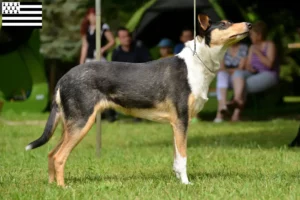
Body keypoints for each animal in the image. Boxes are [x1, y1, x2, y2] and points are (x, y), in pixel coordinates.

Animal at [25, 13, 251, 186]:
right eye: (224, 24)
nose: (249, 24)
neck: (198, 63)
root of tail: (63, 77)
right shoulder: (182, 120)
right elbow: (184, 157)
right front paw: (187, 184)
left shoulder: (176, 124)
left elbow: (176, 158)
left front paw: (179, 181)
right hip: (82, 122)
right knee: (59, 157)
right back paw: (64, 188)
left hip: (70, 124)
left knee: (51, 154)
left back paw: (52, 186)